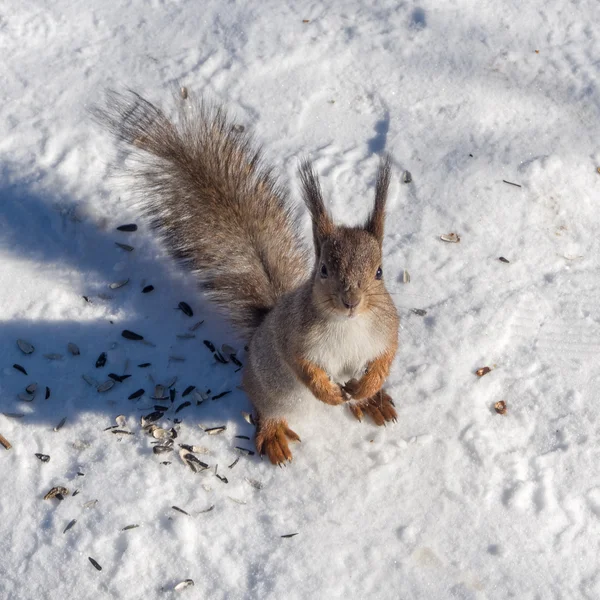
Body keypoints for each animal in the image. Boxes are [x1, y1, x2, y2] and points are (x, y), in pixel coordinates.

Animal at [97, 90, 398, 464]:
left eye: (379, 271)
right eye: (324, 270)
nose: (351, 301)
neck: (349, 325)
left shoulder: (386, 327)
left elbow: (387, 356)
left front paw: (368, 386)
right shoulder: (293, 335)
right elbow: (303, 366)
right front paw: (327, 392)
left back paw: (372, 401)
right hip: (269, 390)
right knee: (268, 412)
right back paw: (274, 435)